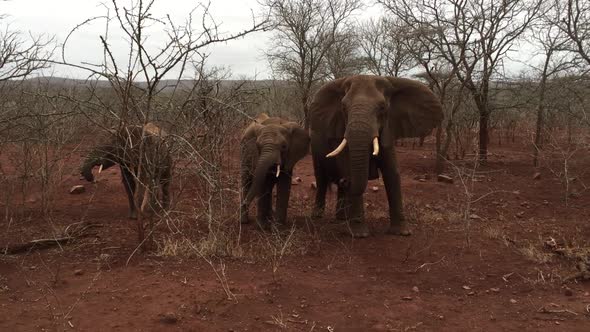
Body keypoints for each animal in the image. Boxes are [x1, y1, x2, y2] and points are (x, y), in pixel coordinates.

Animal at [310, 75, 444, 237]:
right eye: (343, 108)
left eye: (382, 107)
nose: (345, 181)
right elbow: (350, 169)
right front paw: (359, 235)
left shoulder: (388, 128)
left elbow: (392, 173)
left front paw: (402, 233)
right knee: (321, 179)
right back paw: (318, 216)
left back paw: (342, 218)